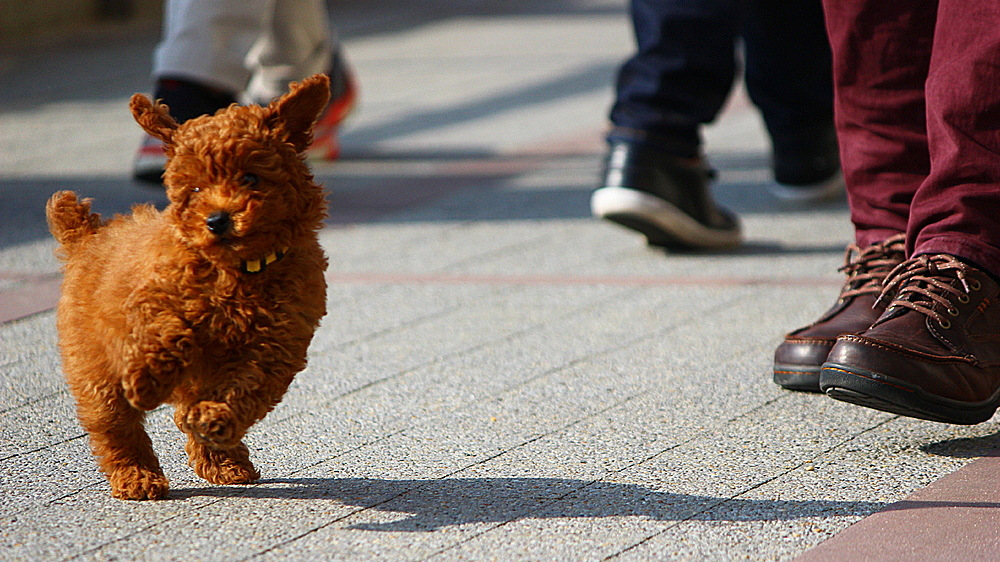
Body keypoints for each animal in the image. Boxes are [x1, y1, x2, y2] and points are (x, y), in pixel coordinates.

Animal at [47, 72, 330, 496]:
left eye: (250, 177)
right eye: (194, 189)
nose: (217, 219)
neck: (238, 270)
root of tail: (86, 236)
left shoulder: (276, 344)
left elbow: (246, 388)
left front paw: (216, 419)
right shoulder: (152, 300)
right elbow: (170, 332)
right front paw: (147, 381)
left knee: (182, 415)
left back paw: (224, 461)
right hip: (91, 364)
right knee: (114, 425)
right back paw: (137, 475)